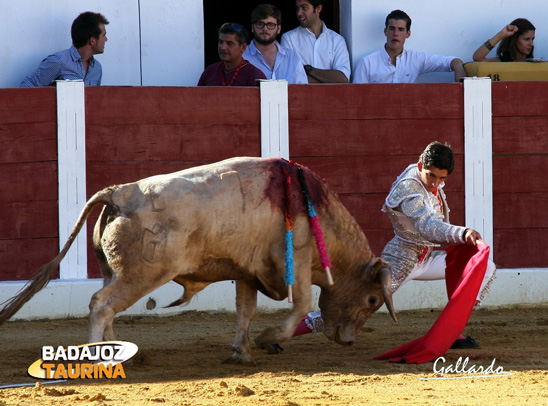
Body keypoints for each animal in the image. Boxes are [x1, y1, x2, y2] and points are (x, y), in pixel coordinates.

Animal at [0, 157, 396, 364]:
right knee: (101, 305)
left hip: (114, 272)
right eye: (372, 299)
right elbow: (300, 305)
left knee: (107, 304)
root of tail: (120, 193)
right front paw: (268, 338)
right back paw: (104, 356)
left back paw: (123, 352)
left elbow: (245, 310)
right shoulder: (295, 263)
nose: (349, 342)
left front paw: (243, 352)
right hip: (143, 275)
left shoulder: (246, 273)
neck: (319, 214)